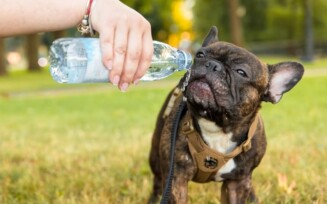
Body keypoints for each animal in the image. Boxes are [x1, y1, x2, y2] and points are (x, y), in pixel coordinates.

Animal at [149, 26, 304, 203]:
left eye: (241, 72)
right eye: (200, 55)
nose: (212, 64)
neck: (217, 125)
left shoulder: (237, 182)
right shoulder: (176, 177)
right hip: (155, 157)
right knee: (158, 180)